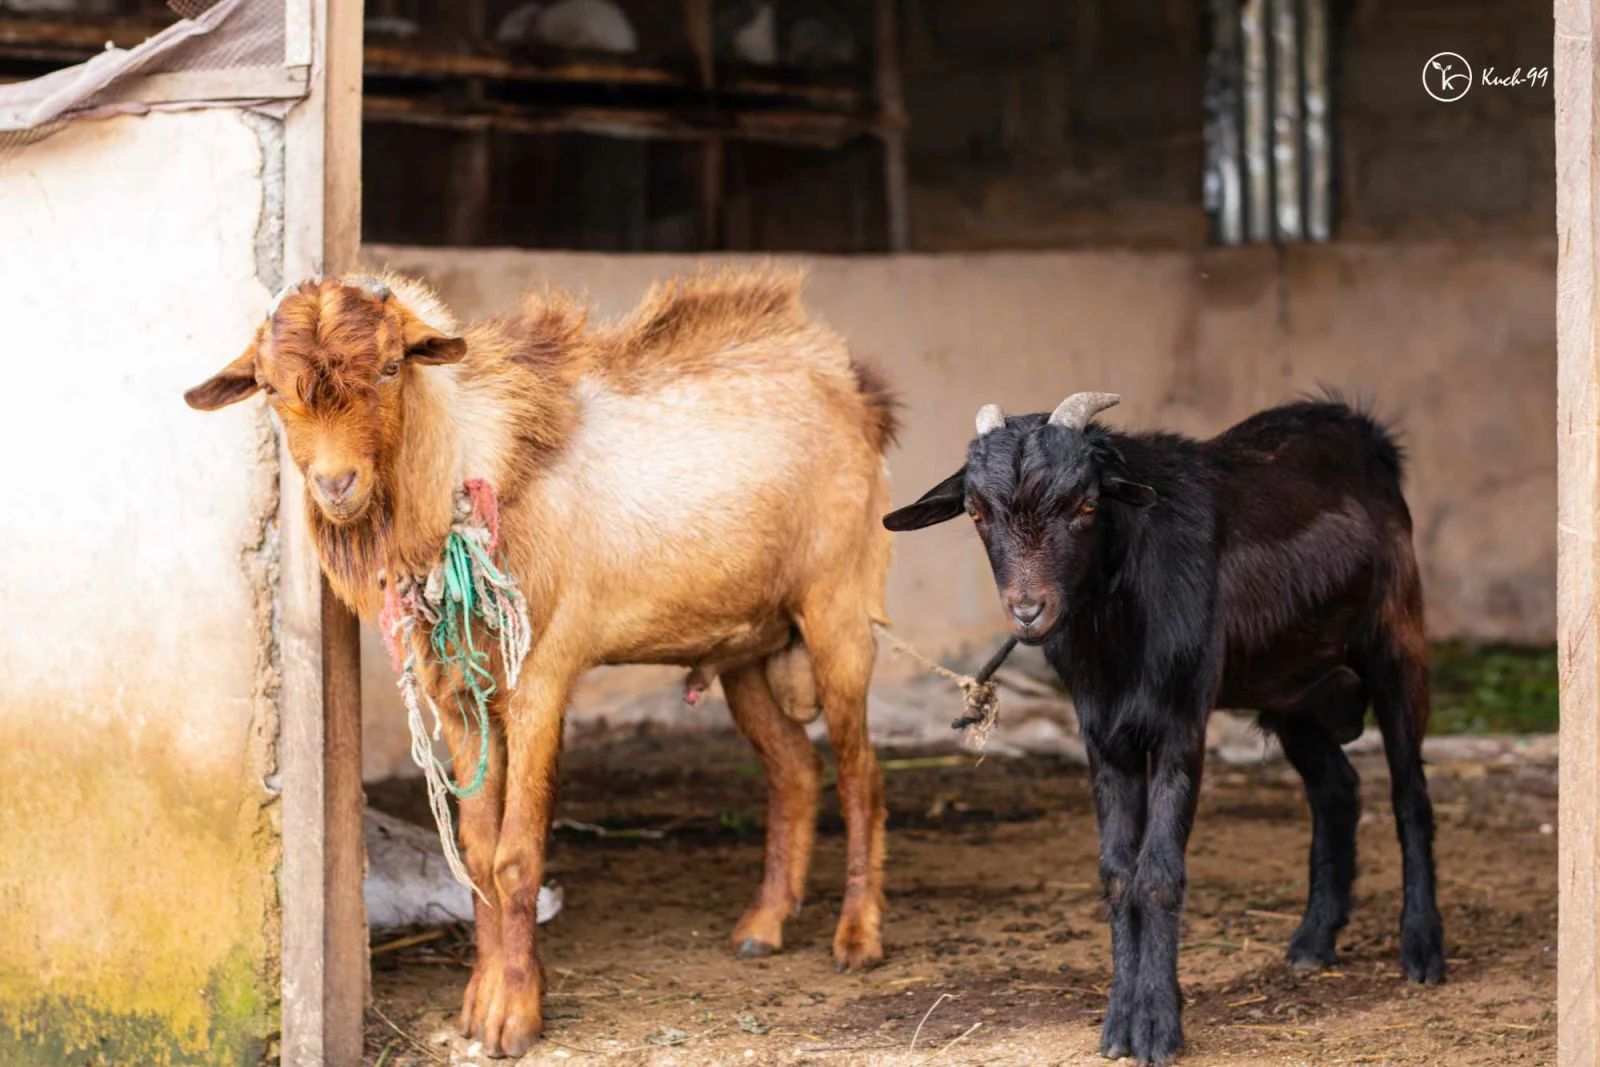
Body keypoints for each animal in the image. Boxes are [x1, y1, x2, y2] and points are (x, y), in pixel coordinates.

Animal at [186, 269, 896, 1058]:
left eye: (391, 366)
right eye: (270, 387)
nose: (336, 486)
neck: (476, 465)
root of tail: (855, 389)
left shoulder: (540, 679)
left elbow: (516, 856)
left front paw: (515, 1016)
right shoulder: (459, 696)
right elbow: (476, 852)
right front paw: (478, 1001)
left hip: (837, 606)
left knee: (860, 774)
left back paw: (858, 937)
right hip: (746, 644)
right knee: (795, 769)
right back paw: (763, 926)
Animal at [884, 393, 1444, 1066]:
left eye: (1086, 504)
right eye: (976, 511)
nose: (1028, 611)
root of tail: (1363, 431)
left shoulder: (1180, 723)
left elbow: (1157, 872)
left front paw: (1156, 1025)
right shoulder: (1103, 736)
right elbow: (1118, 872)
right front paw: (1119, 1023)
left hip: (1396, 643)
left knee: (1409, 794)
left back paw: (1422, 949)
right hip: (1291, 691)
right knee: (1337, 788)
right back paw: (1313, 941)